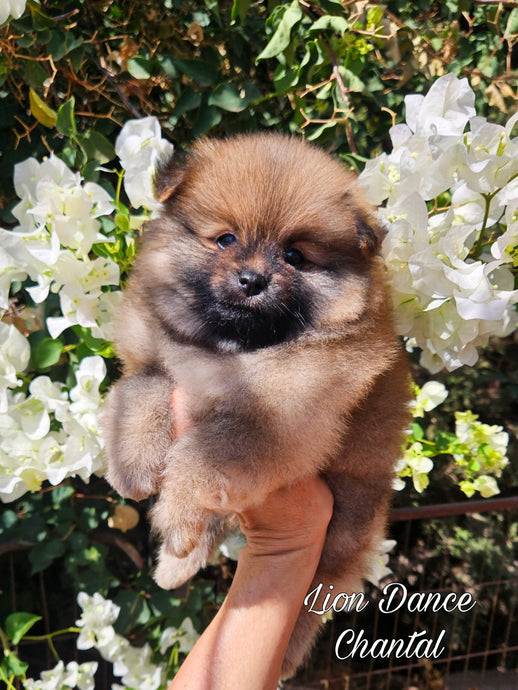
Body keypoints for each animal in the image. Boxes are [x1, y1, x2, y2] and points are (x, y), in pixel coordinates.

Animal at [101, 132, 410, 676]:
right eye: (225, 240)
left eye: (294, 255)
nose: (252, 279)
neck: (234, 349)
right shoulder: (158, 354)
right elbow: (143, 387)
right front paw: (134, 462)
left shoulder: (277, 417)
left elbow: (202, 454)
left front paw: (175, 514)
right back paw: (175, 566)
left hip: (348, 525)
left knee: (318, 591)